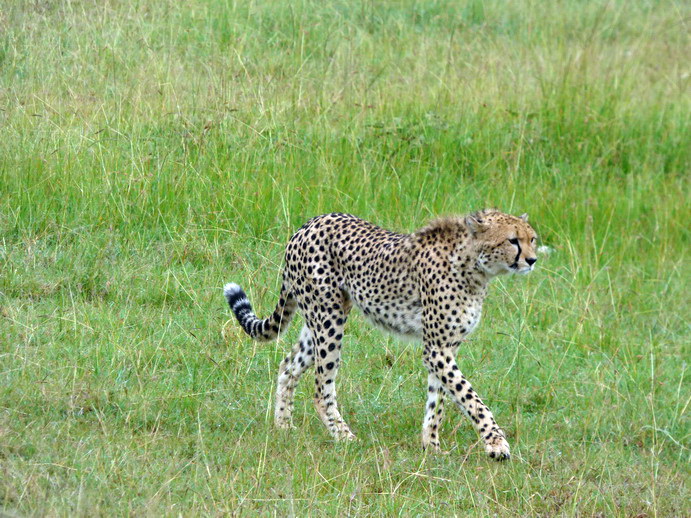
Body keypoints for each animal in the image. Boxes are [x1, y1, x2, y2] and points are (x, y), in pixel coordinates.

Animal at [226, 209, 540, 462]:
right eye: (513, 240)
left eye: (532, 239)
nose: (532, 260)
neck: (474, 267)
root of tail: (308, 224)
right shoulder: (437, 349)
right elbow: (471, 398)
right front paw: (496, 444)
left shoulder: (446, 346)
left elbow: (438, 400)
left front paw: (431, 447)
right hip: (328, 320)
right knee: (321, 386)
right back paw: (344, 437)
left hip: (319, 319)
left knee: (288, 365)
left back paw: (284, 426)